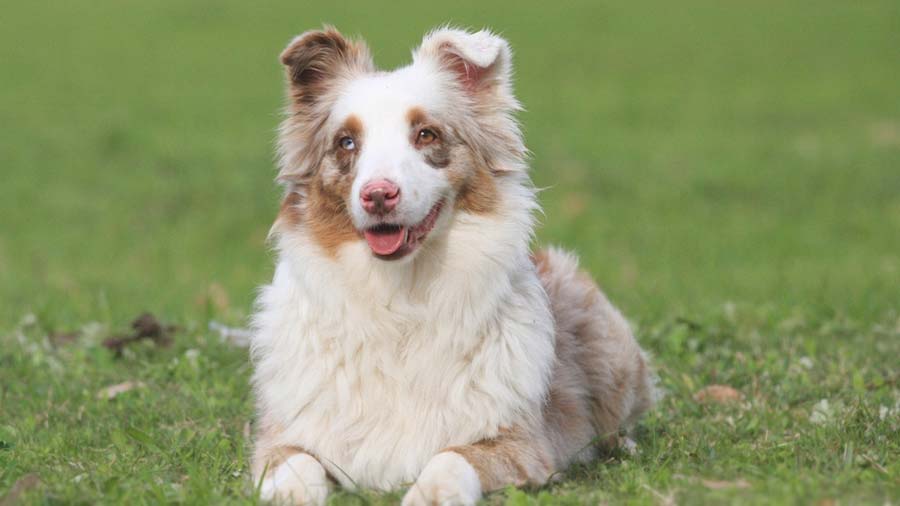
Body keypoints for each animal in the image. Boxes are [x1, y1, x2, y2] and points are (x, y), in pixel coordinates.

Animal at [250, 28, 656, 506]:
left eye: (426, 135)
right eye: (347, 142)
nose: (378, 194)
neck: (400, 297)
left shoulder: (522, 442)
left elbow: (451, 456)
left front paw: (429, 493)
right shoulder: (280, 436)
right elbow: (297, 464)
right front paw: (293, 493)